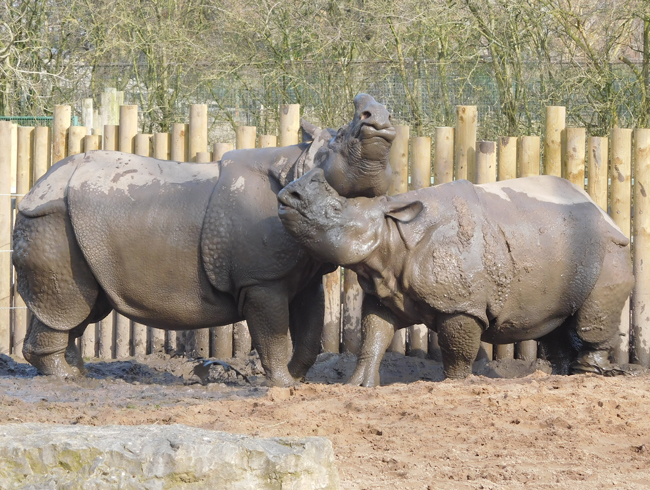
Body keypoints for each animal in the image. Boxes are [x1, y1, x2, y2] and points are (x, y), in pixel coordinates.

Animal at [11, 94, 394, 384]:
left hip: (72, 225)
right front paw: (282, 384)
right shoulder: (261, 280)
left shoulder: (305, 272)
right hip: (52, 219)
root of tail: (34, 187)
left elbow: (310, 333)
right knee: (70, 306)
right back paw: (65, 377)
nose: (380, 118)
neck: (300, 164)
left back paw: (77, 372)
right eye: (343, 136)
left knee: (83, 307)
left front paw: (297, 380)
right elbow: (273, 333)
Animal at [278, 168, 632, 386]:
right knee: (554, 323)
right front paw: (359, 385)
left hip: (609, 249)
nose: (288, 195)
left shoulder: (462, 305)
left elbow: (456, 351)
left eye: (335, 210)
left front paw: (452, 384)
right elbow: (373, 335)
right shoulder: (384, 290)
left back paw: (587, 375)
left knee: (591, 319)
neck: (393, 231)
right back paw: (560, 377)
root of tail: (605, 212)